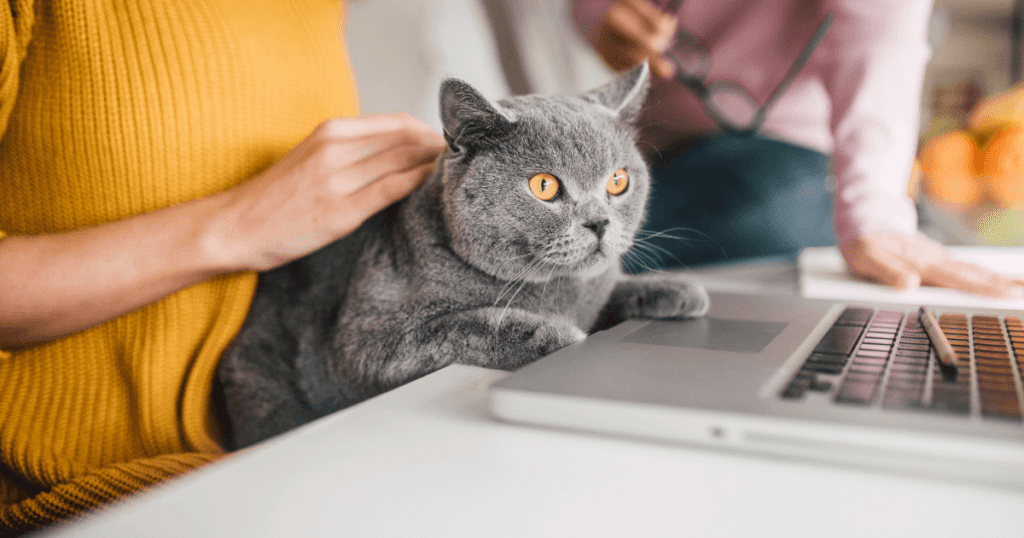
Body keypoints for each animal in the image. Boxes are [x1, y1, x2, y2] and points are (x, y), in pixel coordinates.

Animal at [214, 63, 712, 448]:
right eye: (544, 186)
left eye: (618, 181)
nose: (599, 223)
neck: (559, 291)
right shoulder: (364, 343)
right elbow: (472, 322)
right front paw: (557, 335)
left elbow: (612, 290)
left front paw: (675, 289)